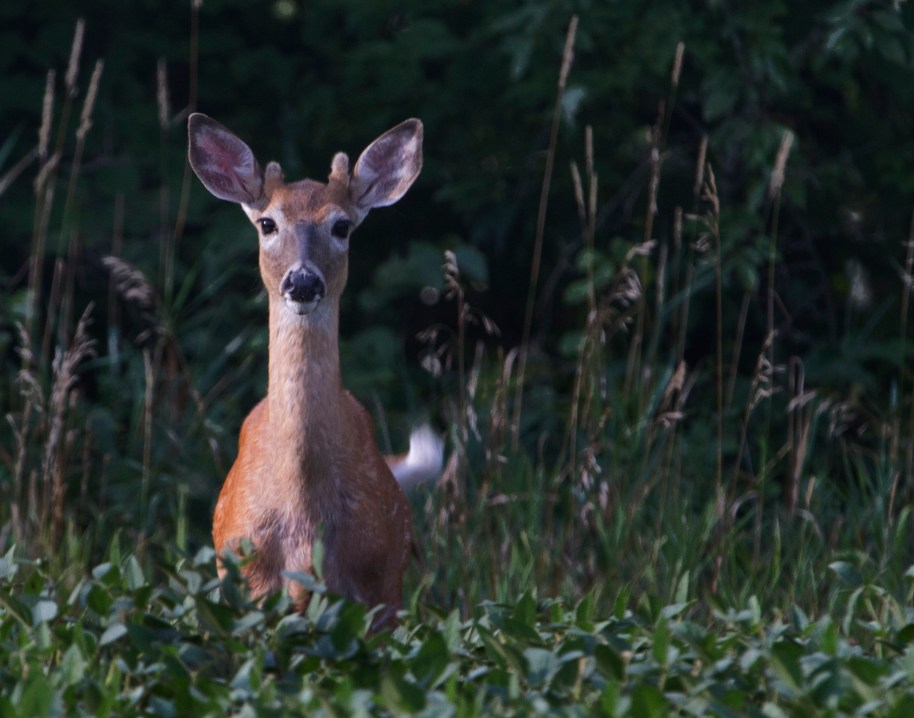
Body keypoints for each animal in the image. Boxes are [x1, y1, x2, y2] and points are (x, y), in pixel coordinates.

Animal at [187, 112, 441, 630]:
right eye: (267, 222)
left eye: (341, 226)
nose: (303, 281)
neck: (304, 512)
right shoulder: (246, 584)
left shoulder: (379, 584)